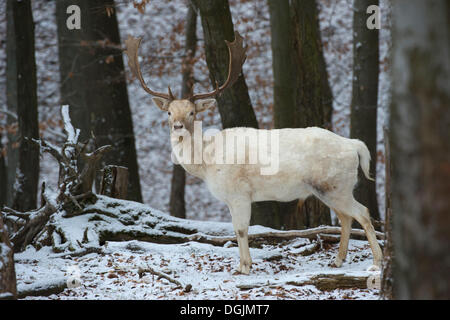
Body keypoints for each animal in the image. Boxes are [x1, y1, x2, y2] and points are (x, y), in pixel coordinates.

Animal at [124, 31, 384, 274]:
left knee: (363, 213)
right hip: (329, 189)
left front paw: (245, 267)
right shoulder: (231, 198)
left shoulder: (240, 193)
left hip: (335, 186)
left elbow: (241, 229)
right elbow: (235, 229)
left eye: (191, 112)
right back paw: (337, 261)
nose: (178, 127)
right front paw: (242, 265)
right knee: (346, 217)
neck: (207, 164)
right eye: (169, 112)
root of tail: (354, 145)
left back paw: (376, 262)